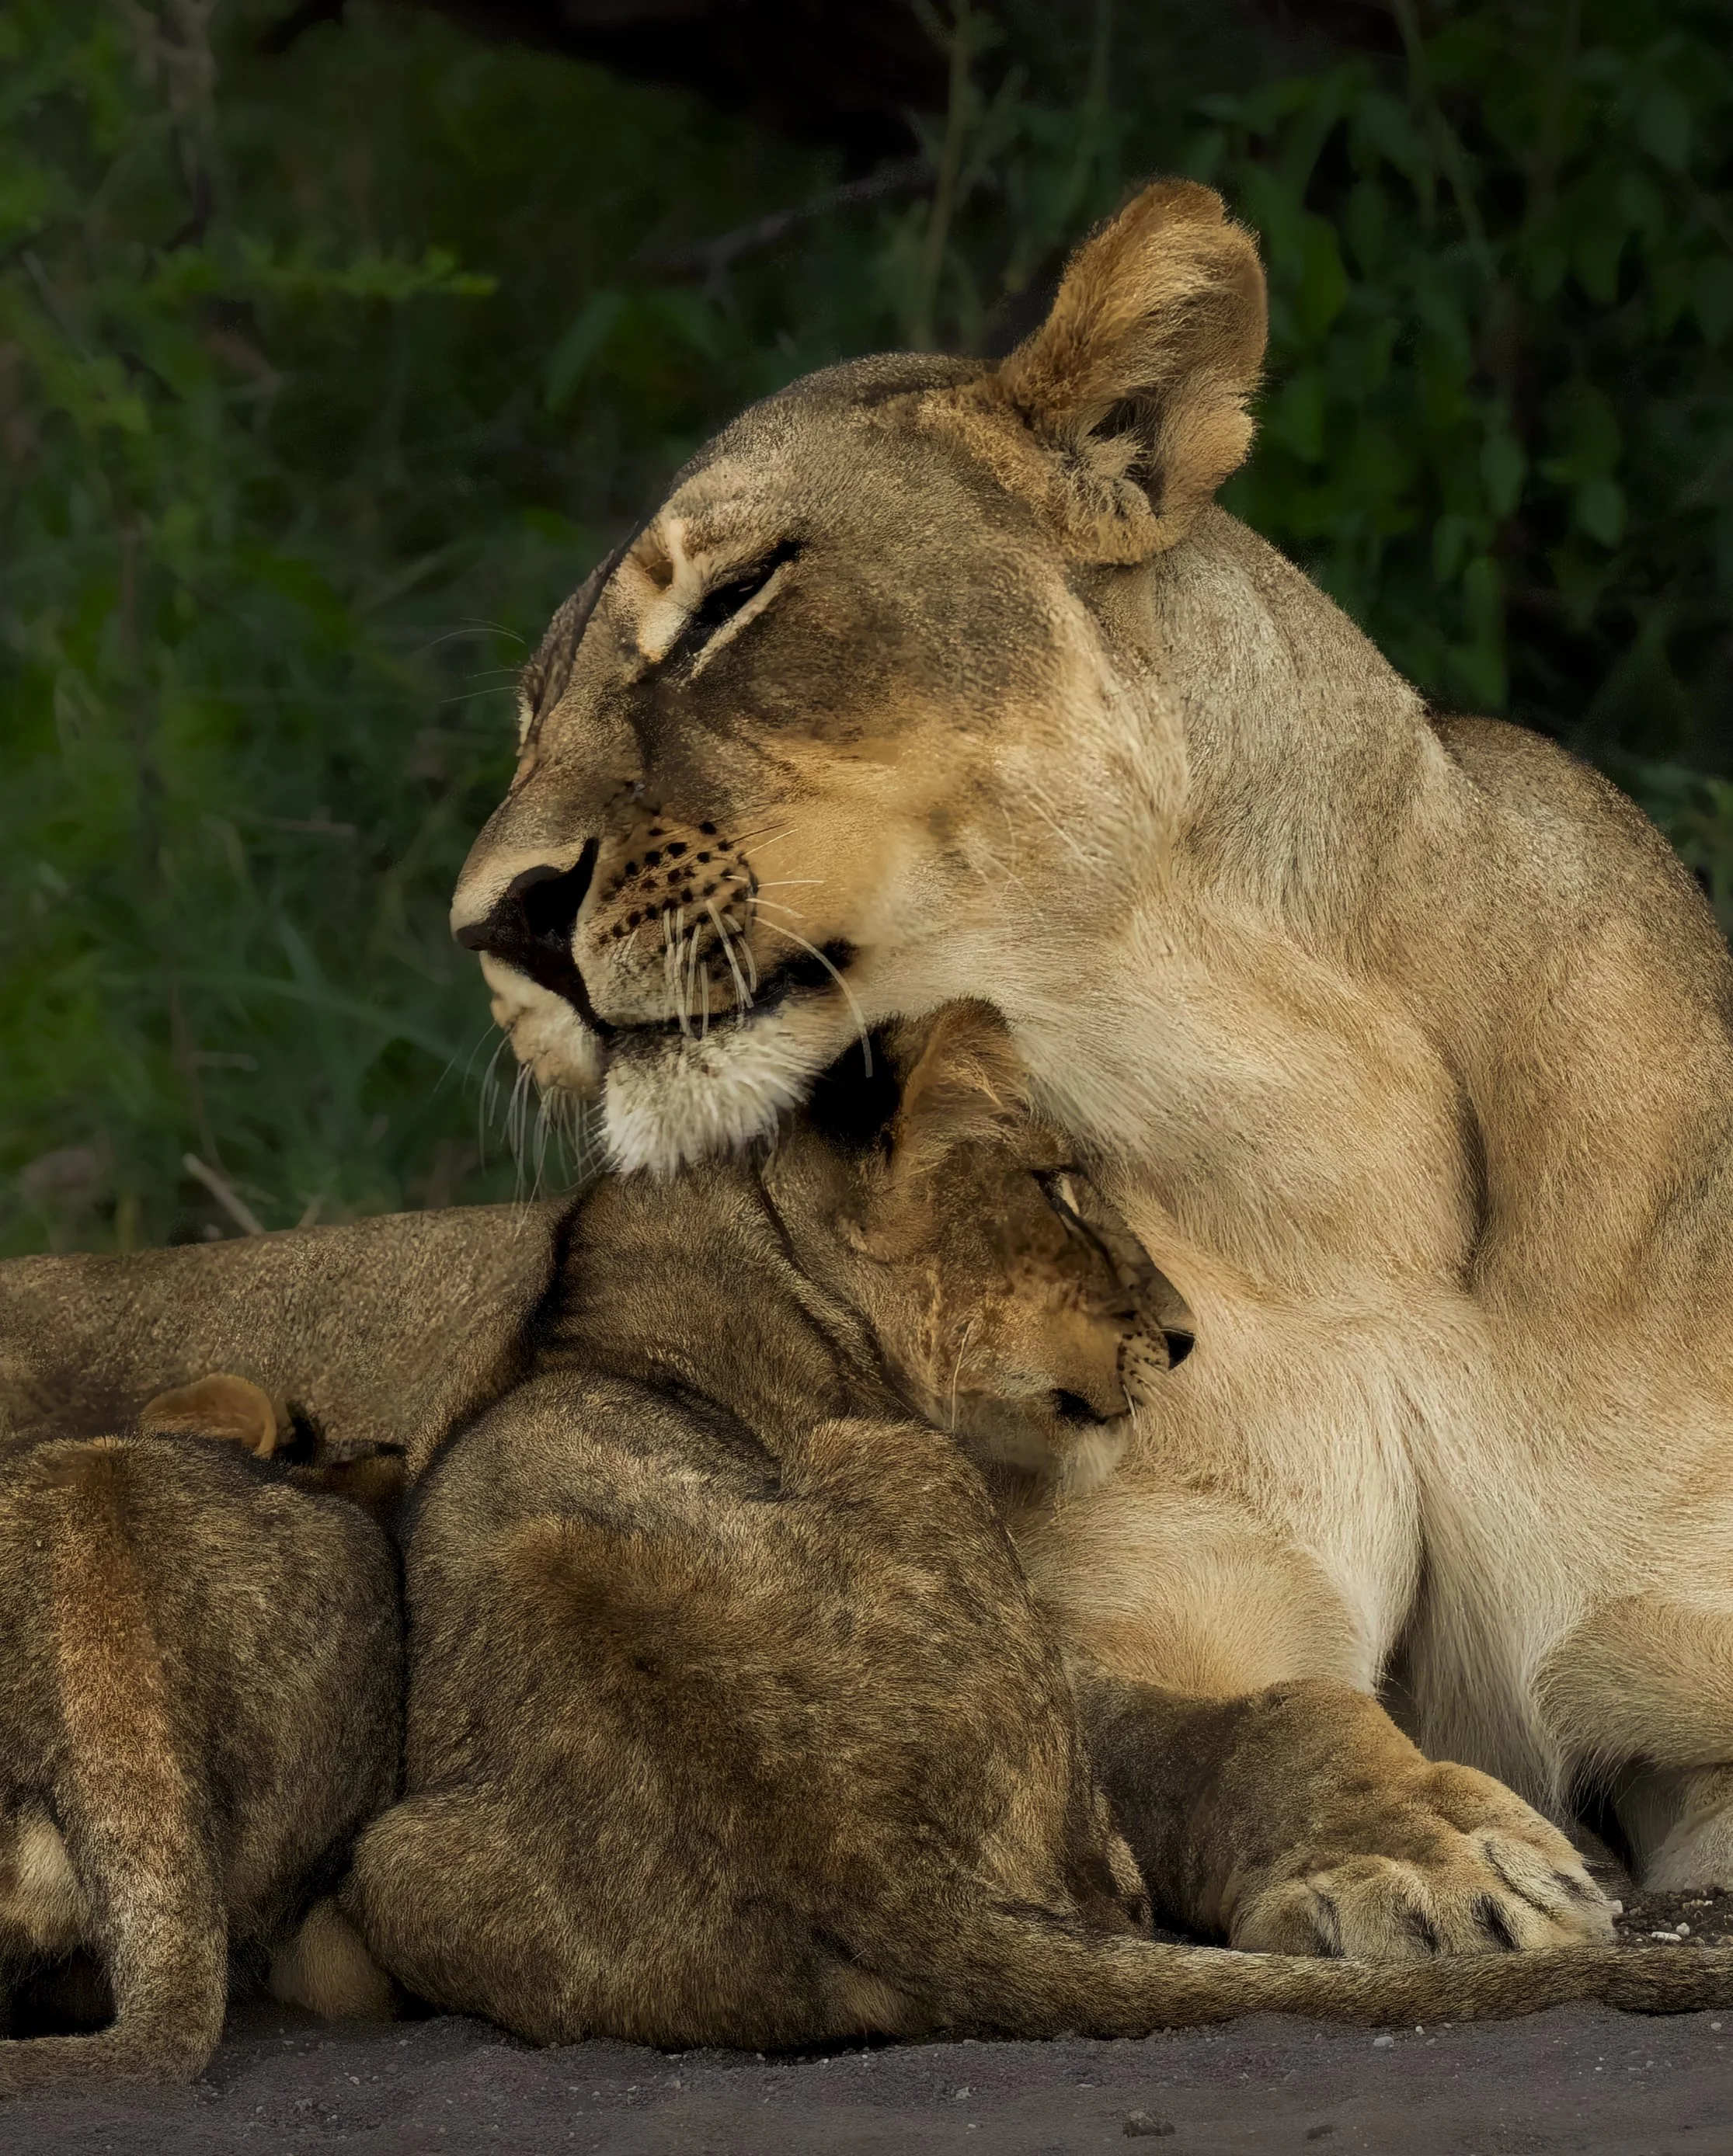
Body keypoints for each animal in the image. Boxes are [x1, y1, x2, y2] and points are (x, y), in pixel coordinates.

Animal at [448, 176, 1733, 1929]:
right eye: (530, 718)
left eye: (730, 602)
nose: (491, 922)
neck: (1319, 1146)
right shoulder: (1126, 1605)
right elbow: (1253, 1721)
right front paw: (1423, 1850)